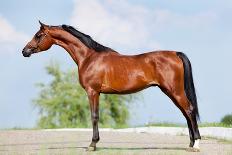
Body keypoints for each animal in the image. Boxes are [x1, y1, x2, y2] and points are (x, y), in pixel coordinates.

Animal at [22, 21, 201, 151]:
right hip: (170, 92)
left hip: (175, 91)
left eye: (38, 35)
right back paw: (190, 144)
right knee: (186, 113)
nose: (24, 51)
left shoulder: (92, 92)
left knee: (189, 111)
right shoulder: (97, 93)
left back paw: (197, 144)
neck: (88, 57)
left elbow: (94, 116)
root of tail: (176, 53)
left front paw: (92, 145)